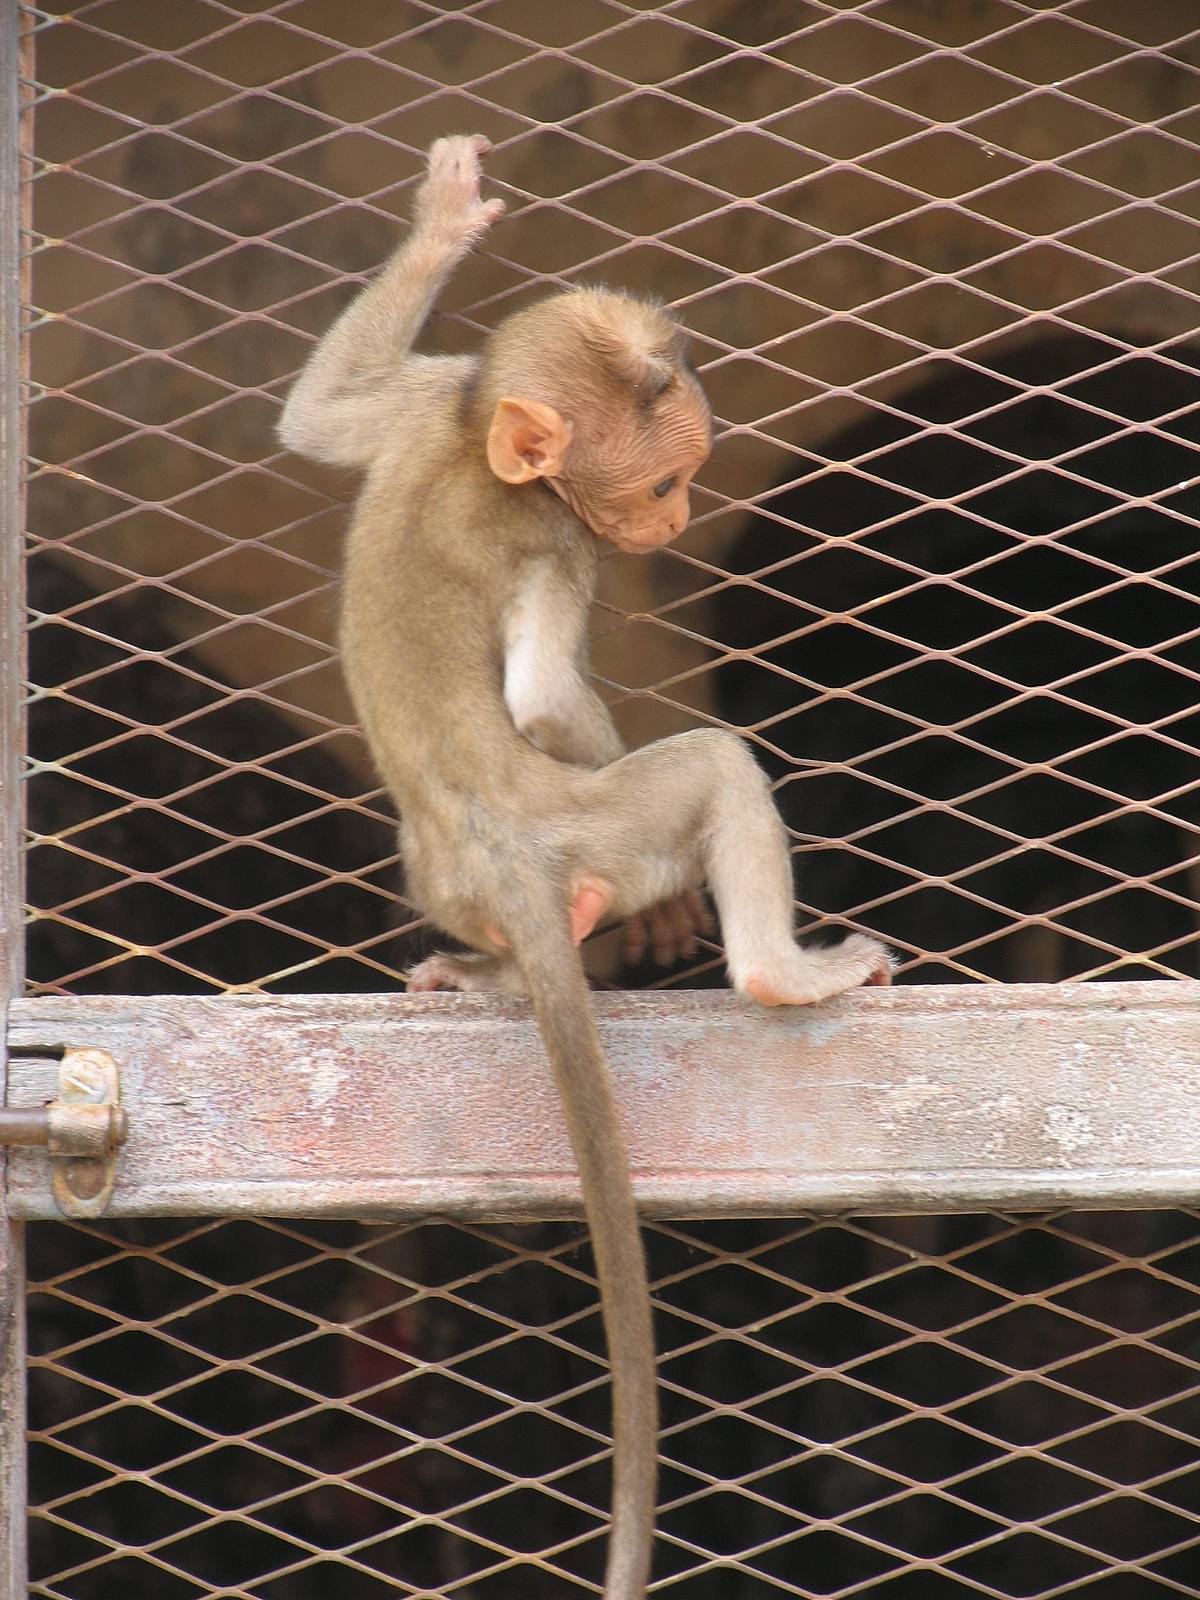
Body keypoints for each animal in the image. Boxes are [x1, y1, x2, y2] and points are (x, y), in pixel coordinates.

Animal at [278, 135, 893, 1600]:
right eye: (659, 483)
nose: (676, 525)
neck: (476, 447)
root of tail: (506, 861)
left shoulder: (433, 396)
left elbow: (320, 420)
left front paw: (446, 221)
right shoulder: (554, 544)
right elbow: (547, 698)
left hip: (452, 874)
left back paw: (485, 971)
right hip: (594, 824)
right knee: (709, 766)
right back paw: (765, 968)